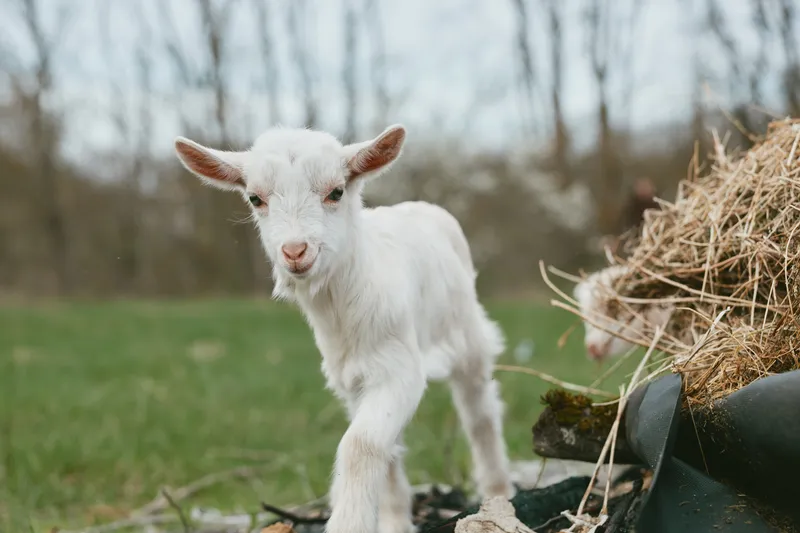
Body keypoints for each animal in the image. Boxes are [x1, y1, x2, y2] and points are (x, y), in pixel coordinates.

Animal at [173, 125, 515, 533]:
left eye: (335, 192)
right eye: (255, 198)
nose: (295, 251)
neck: (340, 307)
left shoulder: (400, 369)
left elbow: (360, 444)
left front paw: (350, 521)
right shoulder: (353, 378)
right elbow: (381, 446)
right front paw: (393, 520)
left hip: (467, 337)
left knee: (480, 413)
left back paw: (499, 495)